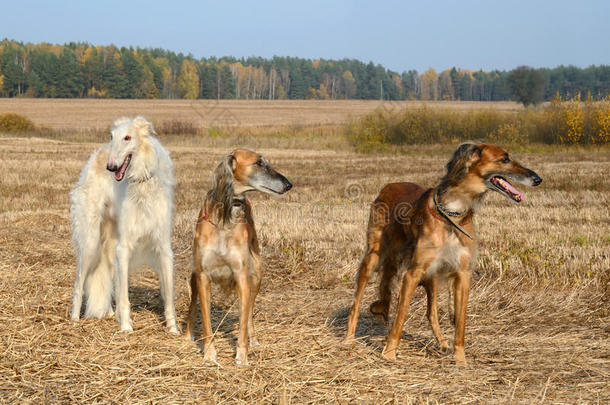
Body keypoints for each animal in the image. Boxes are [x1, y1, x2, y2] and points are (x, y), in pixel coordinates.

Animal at [70, 116, 178, 332]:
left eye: (127, 138)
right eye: (112, 137)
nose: (110, 167)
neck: (142, 181)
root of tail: (95, 156)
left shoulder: (163, 247)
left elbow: (168, 296)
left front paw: (173, 330)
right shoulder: (125, 246)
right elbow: (124, 297)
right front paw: (126, 328)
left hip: (111, 247)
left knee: (113, 283)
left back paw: (112, 314)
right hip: (91, 243)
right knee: (79, 285)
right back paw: (76, 319)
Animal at [184, 150, 290, 364]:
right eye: (259, 163)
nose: (288, 184)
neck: (225, 218)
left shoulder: (242, 276)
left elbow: (242, 322)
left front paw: (242, 356)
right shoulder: (203, 276)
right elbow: (206, 321)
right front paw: (209, 354)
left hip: (256, 276)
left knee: (248, 314)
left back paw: (253, 339)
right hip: (194, 276)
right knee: (192, 306)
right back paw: (186, 335)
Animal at [344, 141, 540, 362]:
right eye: (505, 159)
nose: (537, 179)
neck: (453, 215)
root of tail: (390, 185)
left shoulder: (462, 274)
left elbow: (460, 323)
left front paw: (460, 359)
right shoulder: (412, 274)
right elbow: (400, 318)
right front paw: (389, 354)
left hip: (432, 278)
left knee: (432, 314)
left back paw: (443, 343)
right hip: (373, 259)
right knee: (355, 305)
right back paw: (348, 341)